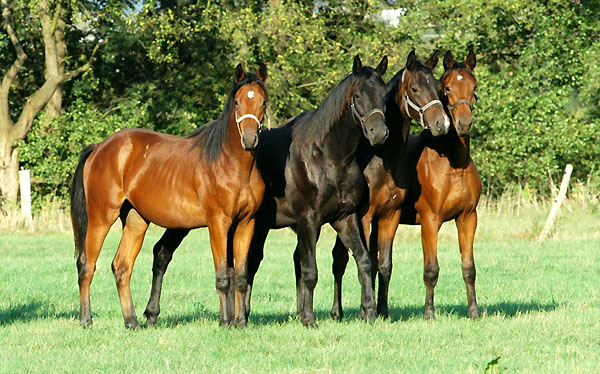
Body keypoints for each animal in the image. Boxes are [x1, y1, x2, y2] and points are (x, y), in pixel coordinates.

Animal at [69, 62, 268, 328]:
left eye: (263, 102)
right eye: (237, 101)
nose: (249, 138)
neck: (231, 164)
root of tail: (99, 148)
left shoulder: (246, 224)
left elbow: (242, 275)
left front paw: (240, 323)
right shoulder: (218, 223)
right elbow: (223, 276)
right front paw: (225, 323)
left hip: (136, 220)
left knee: (121, 267)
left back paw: (132, 322)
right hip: (101, 218)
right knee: (86, 265)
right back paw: (86, 319)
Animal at [144, 55, 390, 328]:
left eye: (383, 95)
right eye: (358, 96)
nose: (379, 133)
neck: (327, 156)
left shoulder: (344, 219)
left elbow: (364, 261)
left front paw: (370, 314)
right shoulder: (307, 220)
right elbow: (310, 271)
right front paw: (308, 318)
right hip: (185, 221)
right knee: (163, 254)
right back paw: (153, 314)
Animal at [330, 49, 480, 318]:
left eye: (474, 86)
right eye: (448, 88)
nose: (456, 124)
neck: (454, 164)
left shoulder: (467, 218)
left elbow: (468, 268)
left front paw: (473, 311)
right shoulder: (428, 220)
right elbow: (430, 269)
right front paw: (428, 313)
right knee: (340, 260)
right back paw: (338, 312)